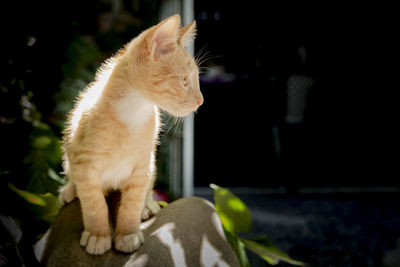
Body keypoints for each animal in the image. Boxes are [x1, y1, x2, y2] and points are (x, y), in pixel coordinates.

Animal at [57, 14, 203, 255]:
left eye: (197, 80)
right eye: (184, 80)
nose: (201, 101)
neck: (132, 113)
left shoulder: (143, 165)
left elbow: (132, 204)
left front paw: (128, 233)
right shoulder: (85, 164)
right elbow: (94, 203)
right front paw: (98, 234)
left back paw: (148, 204)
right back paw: (69, 189)